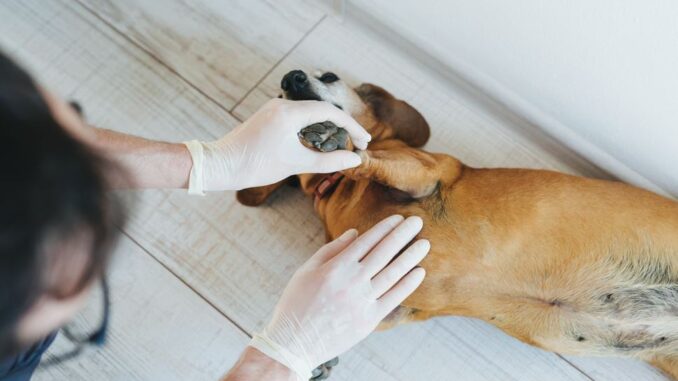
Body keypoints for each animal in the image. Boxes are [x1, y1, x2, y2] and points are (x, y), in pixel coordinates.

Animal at [239, 69, 678, 378]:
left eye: (329, 76)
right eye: (278, 97)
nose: (291, 77)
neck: (336, 191)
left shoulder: (423, 174)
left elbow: (367, 160)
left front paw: (337, 141)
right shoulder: (395, 301)